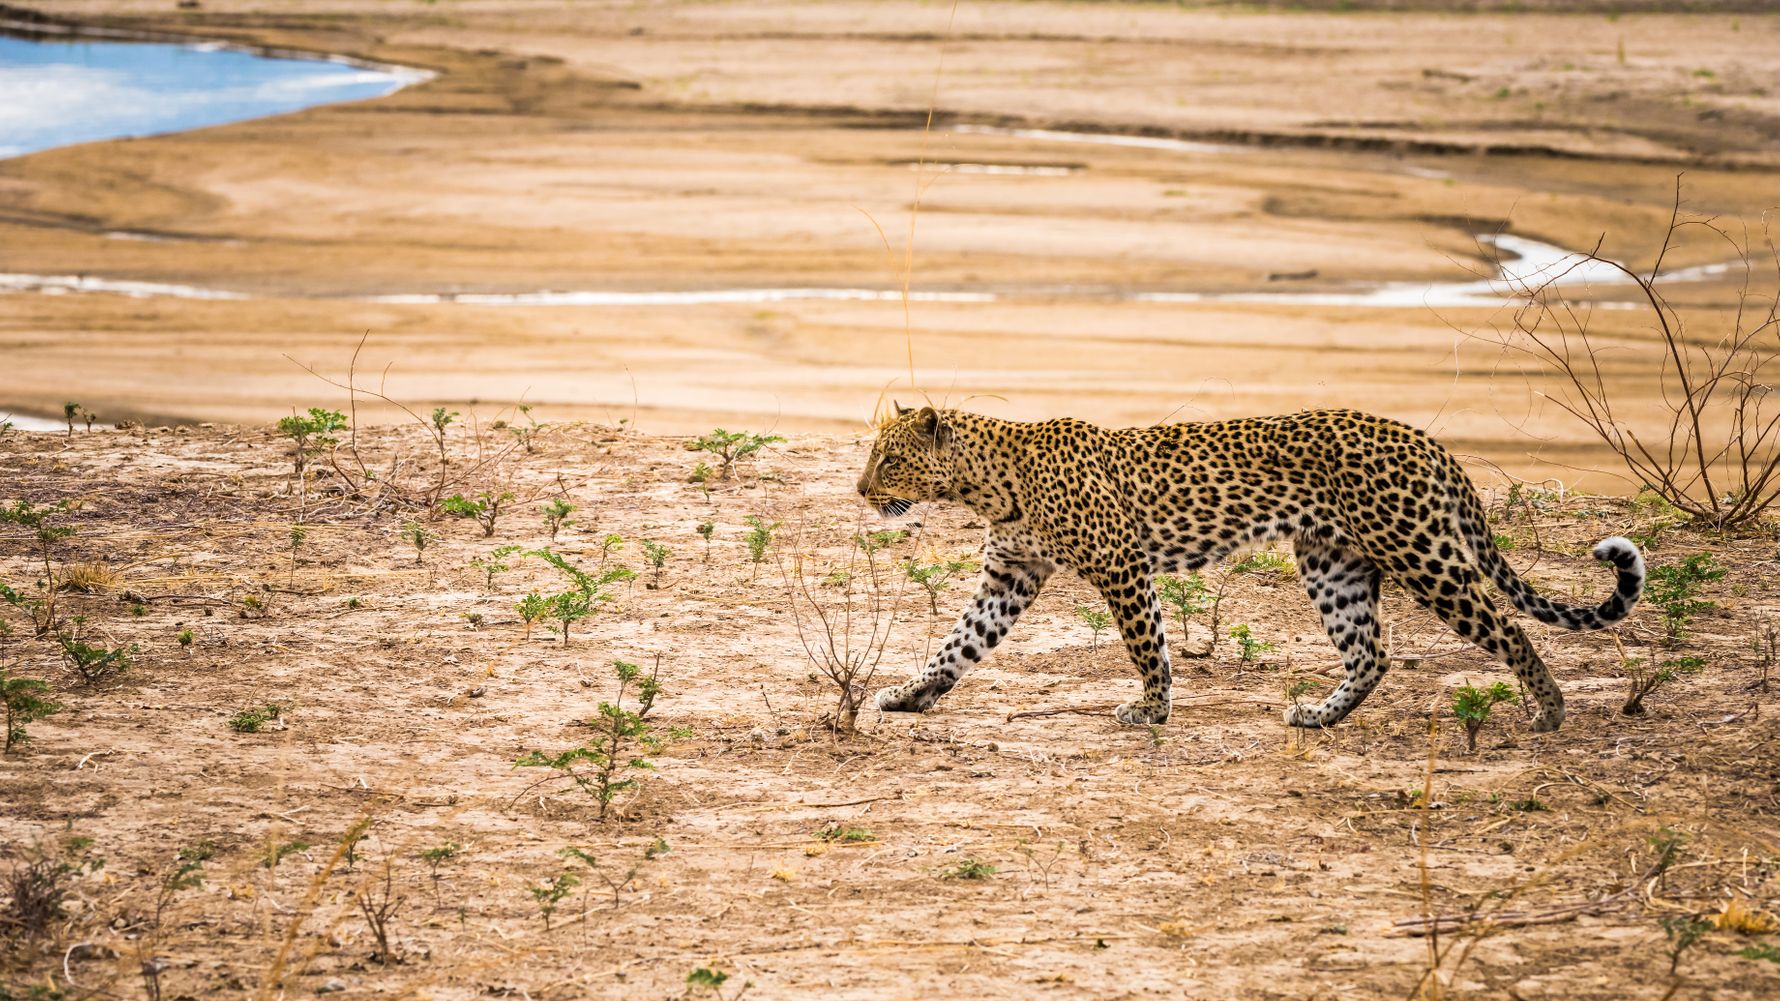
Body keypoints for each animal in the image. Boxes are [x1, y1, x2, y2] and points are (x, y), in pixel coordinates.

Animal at [857, 405, 1644, 732]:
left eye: (888, 457)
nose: (861, 490)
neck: (989, 482)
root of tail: (1424, 438)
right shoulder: (1010, 576)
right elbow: (957, 644)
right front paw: (910, 694)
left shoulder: (1121, 564)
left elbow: (1147, 644)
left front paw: (1151, 709)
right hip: (1333, 564)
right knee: (1372, 652)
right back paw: (1318, 716)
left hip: (1420, 552)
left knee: (1507, 628)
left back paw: (1549, 710)